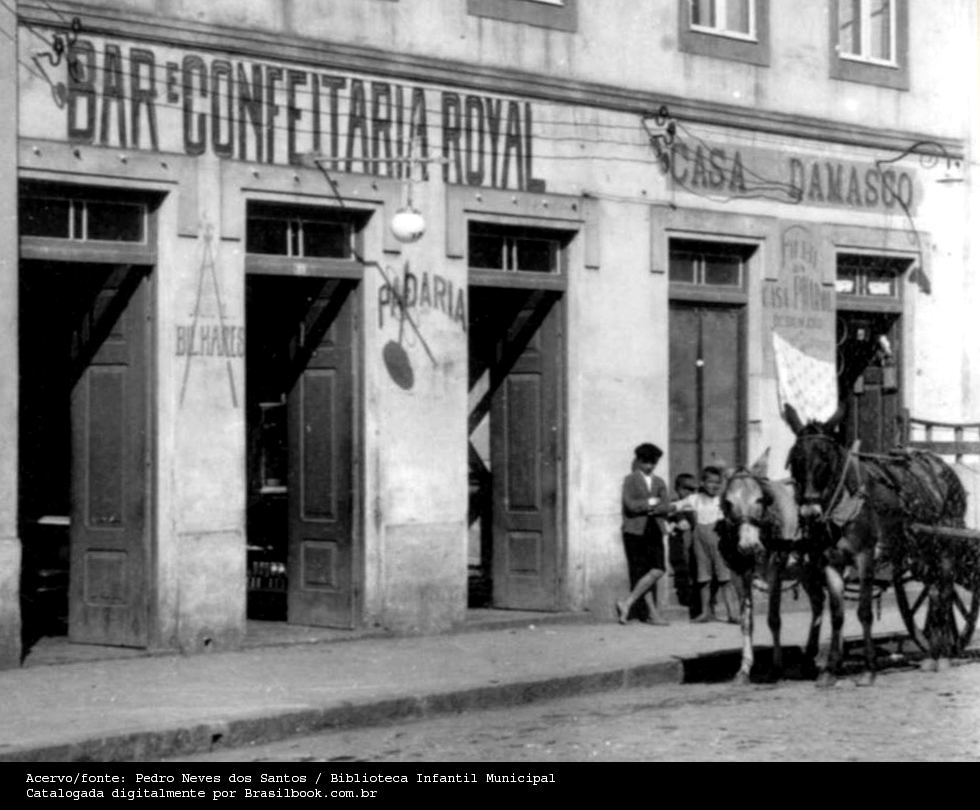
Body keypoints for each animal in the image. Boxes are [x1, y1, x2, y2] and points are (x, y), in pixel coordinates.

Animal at [717, 450, 823, 684]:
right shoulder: (739, 575)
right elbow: (746, 621)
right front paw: (744, 669)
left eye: (760, 499)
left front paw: (776, 668)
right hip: (807, 573)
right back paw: (808, 661)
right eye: (727, 502)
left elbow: (774, 620)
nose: (748, 546)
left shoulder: (775, 573)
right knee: (819, 605)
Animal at [784, 403, 968, 686]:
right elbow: (836, 615)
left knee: (946, 594)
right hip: (923, 551)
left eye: (825, 458)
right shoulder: (829, 561)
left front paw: (868, 669)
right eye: (795, 459)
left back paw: (944, 657)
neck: (846, 504)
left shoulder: (865, 556)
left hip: (947, 546)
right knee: (935, 595)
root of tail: (942, 466)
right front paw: (830, 670)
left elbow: (864, 611)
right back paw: (932, 655)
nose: (809, 512)